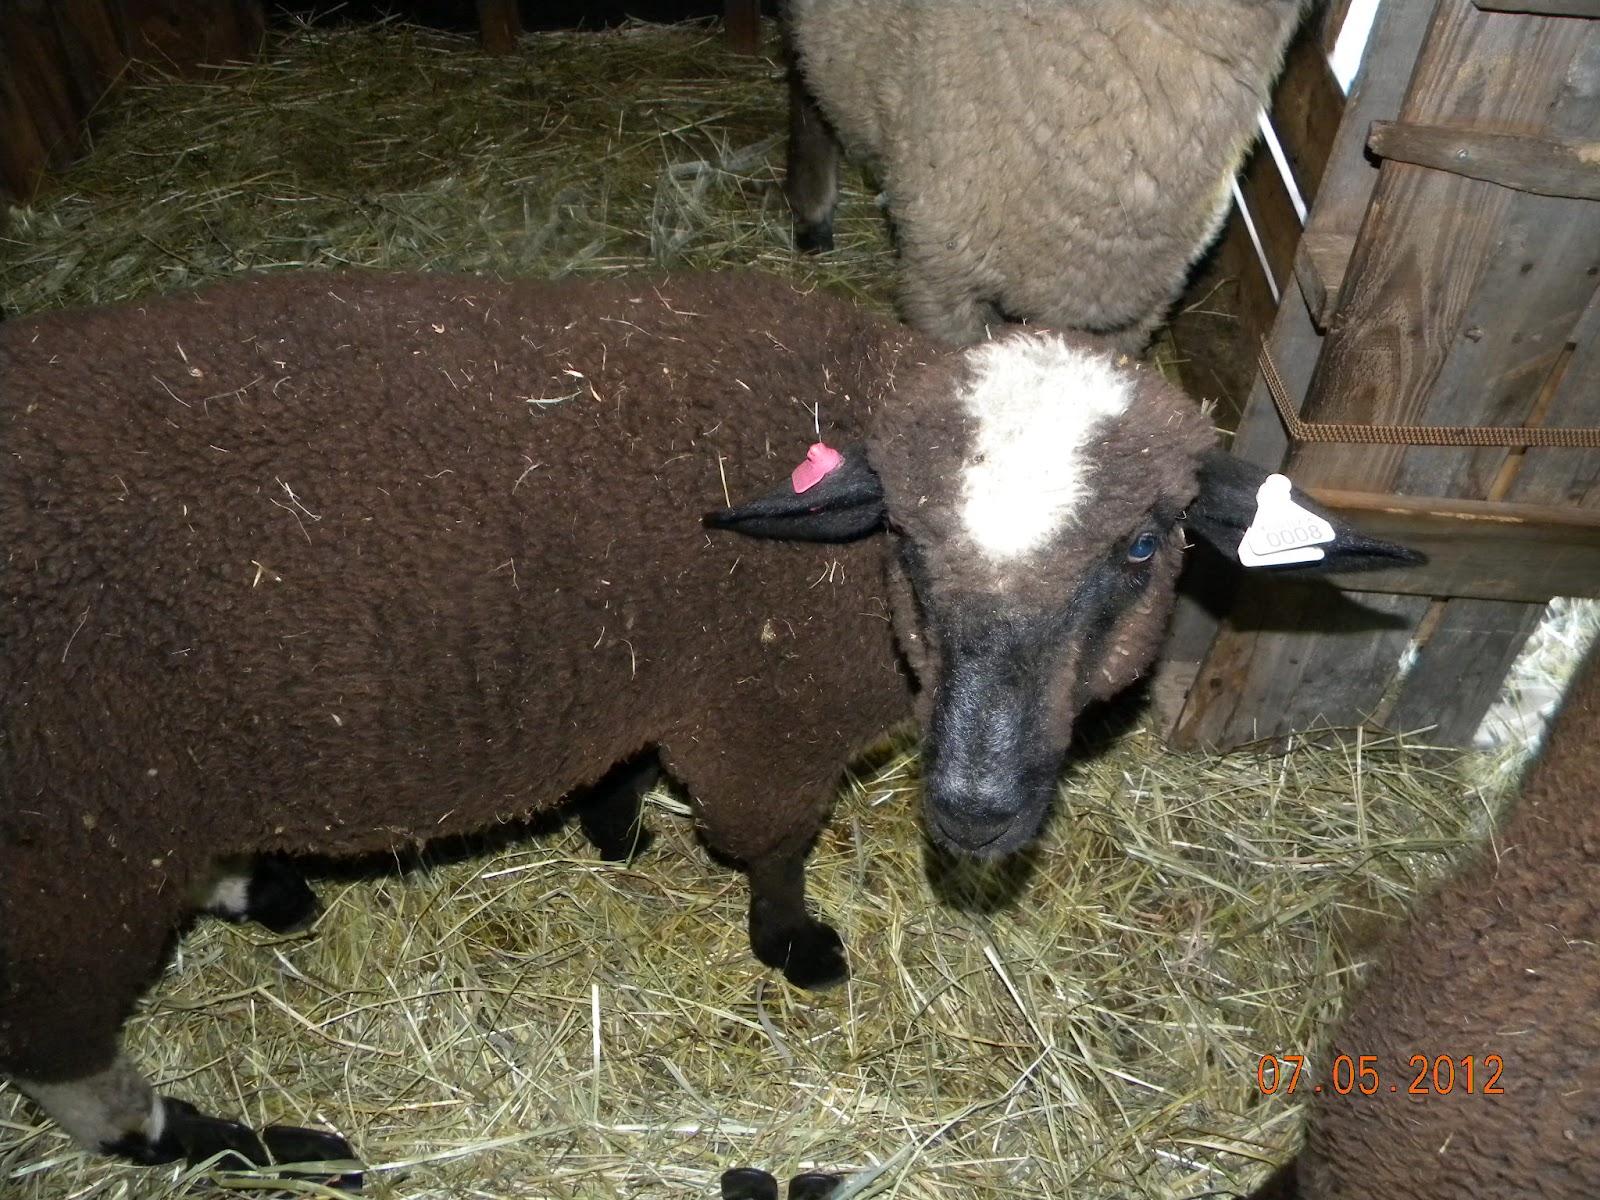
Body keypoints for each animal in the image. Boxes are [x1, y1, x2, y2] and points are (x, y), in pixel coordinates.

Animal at [0, 269, 1418, 1174]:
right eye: (904, 538)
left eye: (1138, 546)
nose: (970, 806)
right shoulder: (760, 719)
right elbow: (772, 846)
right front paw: (793, 945)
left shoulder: (672, 681)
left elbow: (633, 762)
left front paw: (612, 820)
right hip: (77, 850)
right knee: (63, 1060)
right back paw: (229, 1141)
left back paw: (264, 893)